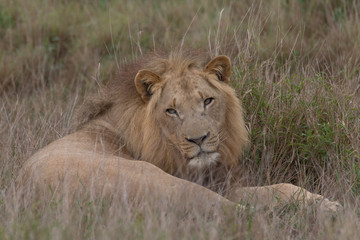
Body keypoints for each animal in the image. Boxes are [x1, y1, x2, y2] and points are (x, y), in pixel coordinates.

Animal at [15, 50, 342, 212]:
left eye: (207, 101)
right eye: (171, 110)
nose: (199, 139)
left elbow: (278, 188)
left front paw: (325, 203)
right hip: (158, 181)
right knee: (235, 213)